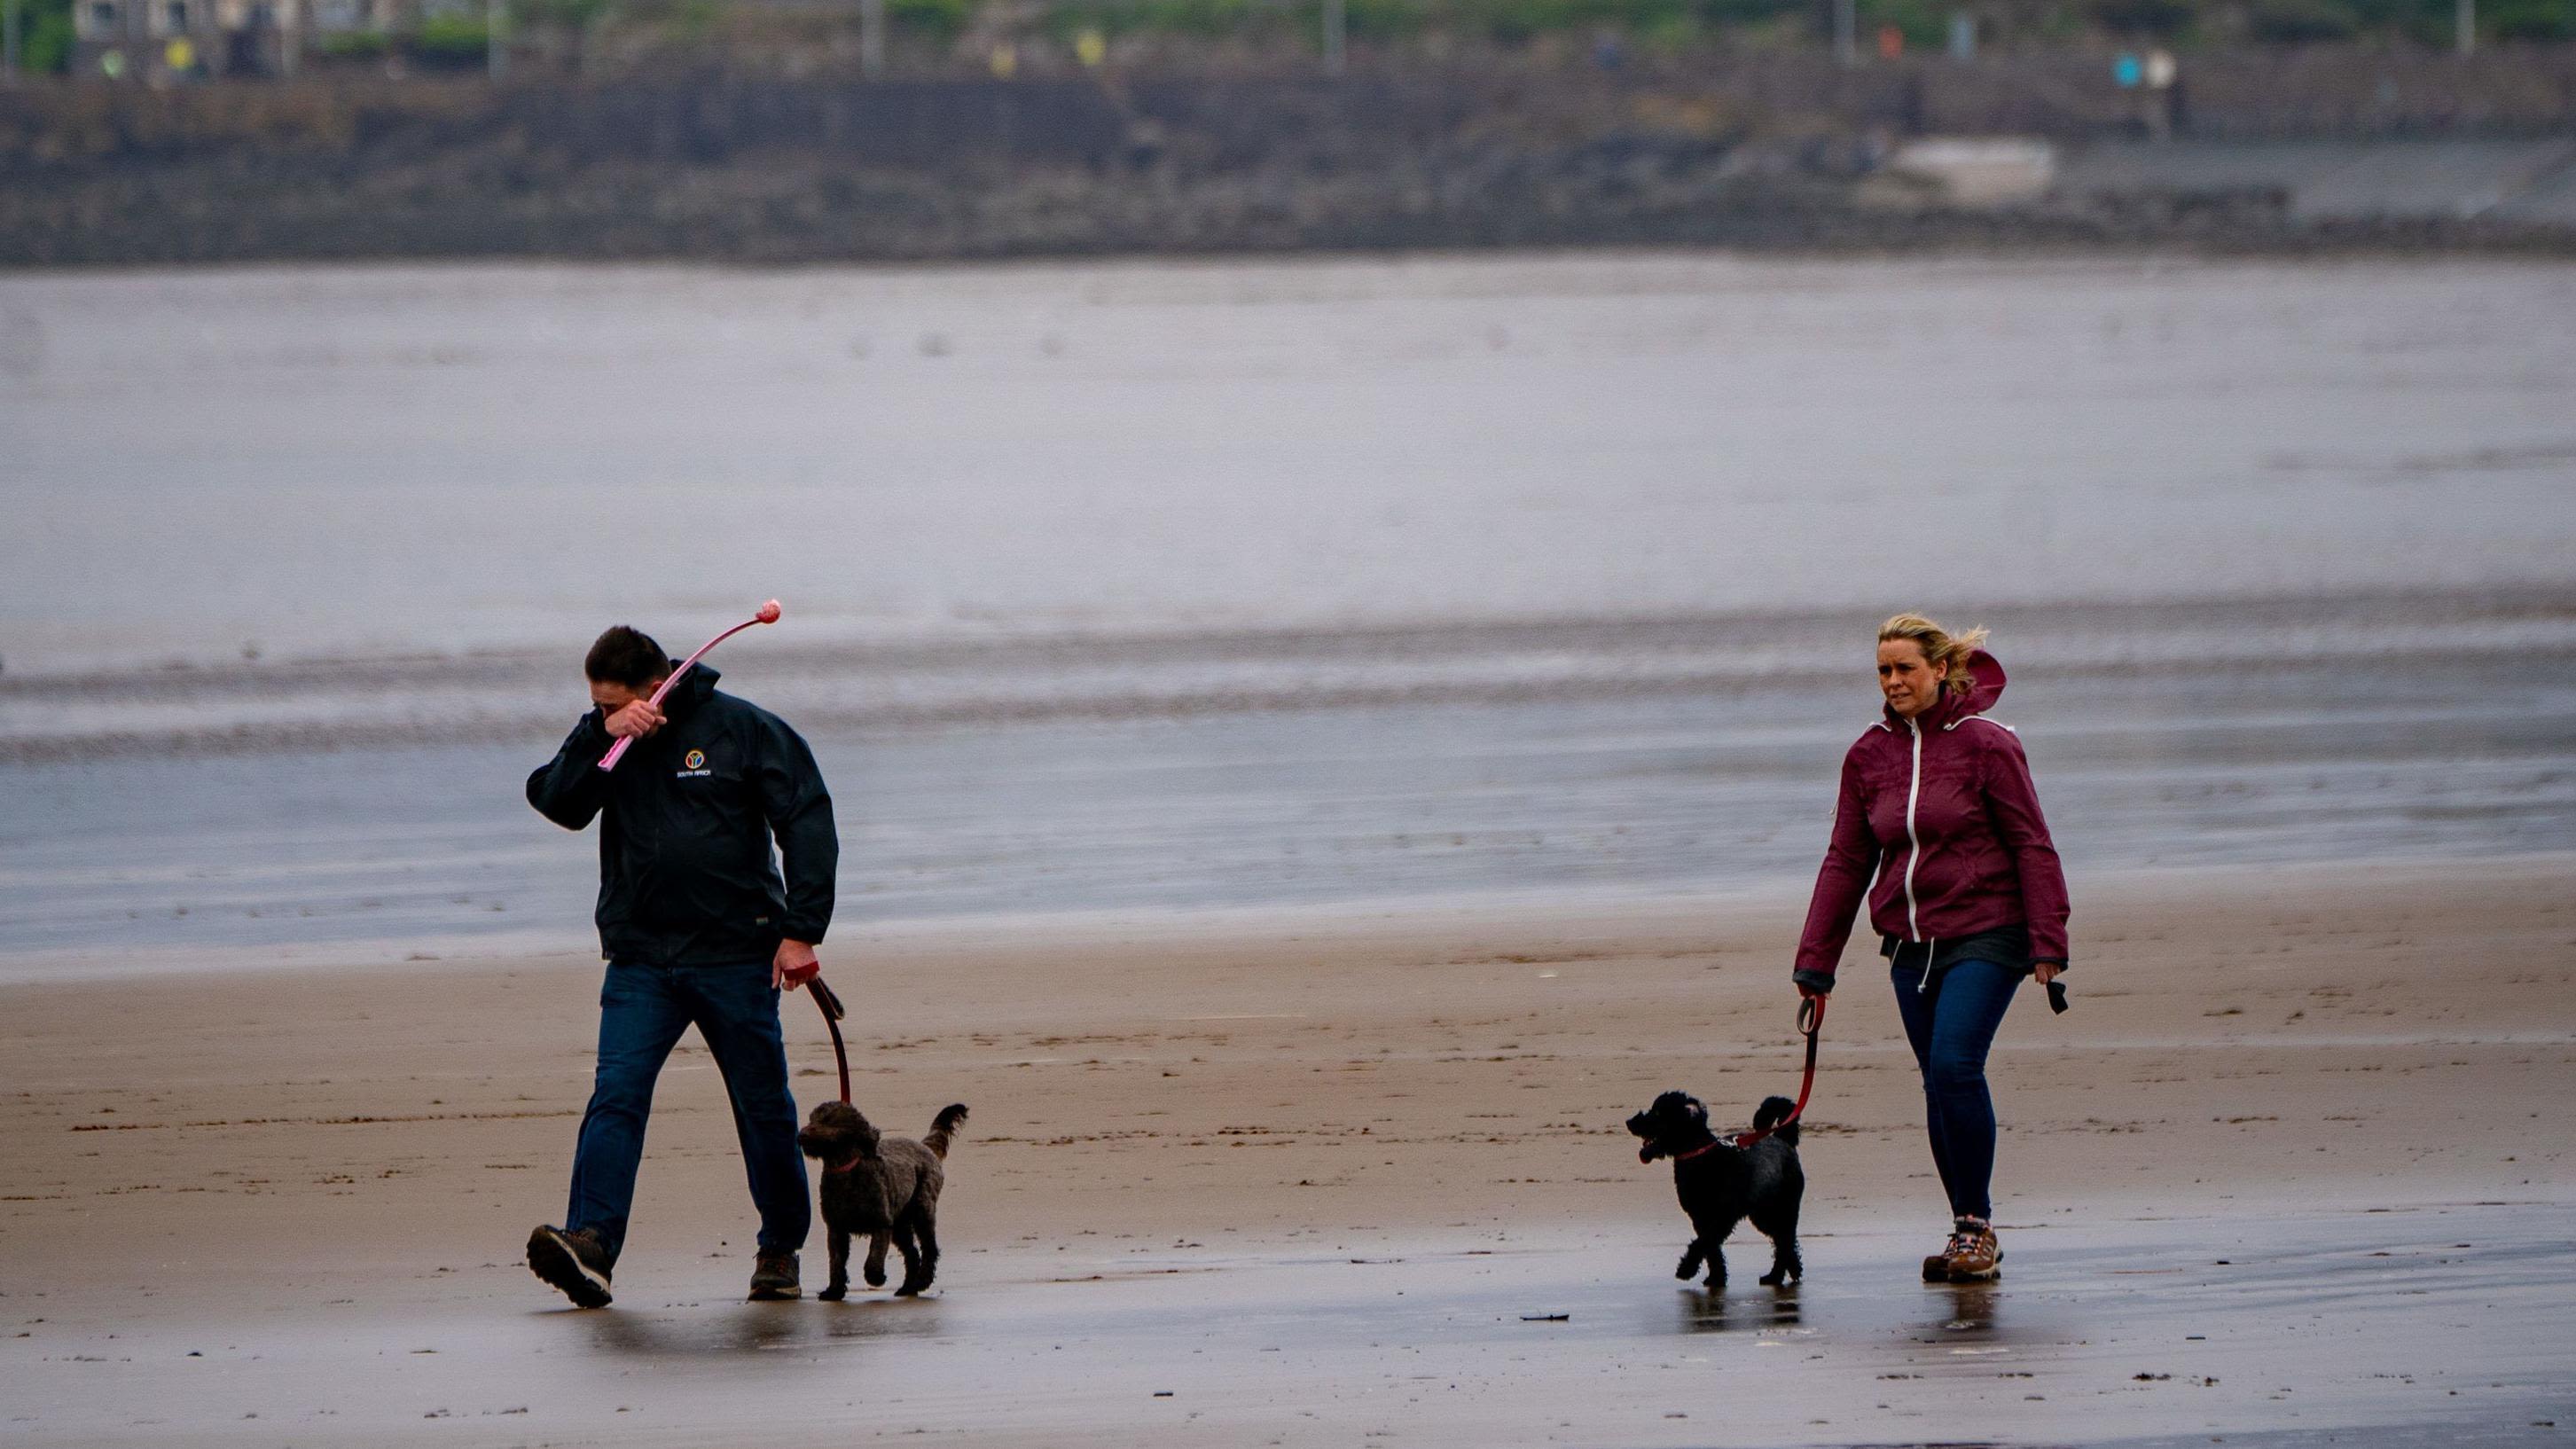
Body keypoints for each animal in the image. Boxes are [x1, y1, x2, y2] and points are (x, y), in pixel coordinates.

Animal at [793, 1098, 968, 1288]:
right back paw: (908, 1287)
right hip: (900, 1223)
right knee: (912, 1252)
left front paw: (875, 1277)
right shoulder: (836, 1228)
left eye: (829, 1120)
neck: (846, 1171)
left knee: (929, 1248)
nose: (801, 1135)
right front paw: (834, 1290)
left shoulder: (881, 1223)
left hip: (922, 1210)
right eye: (811, 1119)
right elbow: (836, 1261)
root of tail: (924, 1146)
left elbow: (875, 1254)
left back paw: (923, 1280)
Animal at [1627, 1087, 1813, 1279]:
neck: (1700, 1155)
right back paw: (1786, 1271)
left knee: (1785, 1240)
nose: (1630, 1122)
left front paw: (1687, 1268)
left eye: (1658, 1112)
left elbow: (1703, 1242)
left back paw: (1777, 1275)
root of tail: (1783, 1140)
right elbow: (1711, 1248)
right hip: (1762, 1214)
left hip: (1785, 1207)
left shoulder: (1724, 1216)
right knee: (1782, 1240)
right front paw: (1716, 1278)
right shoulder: (1700, 1217)